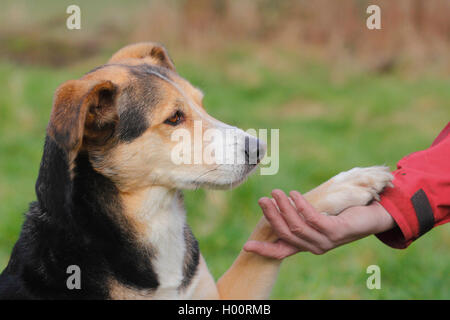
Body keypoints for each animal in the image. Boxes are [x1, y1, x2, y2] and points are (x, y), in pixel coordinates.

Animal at [0, 42, 392, 300]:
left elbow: (262, 232)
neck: (155, 217)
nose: (259, 148)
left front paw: (348, 184)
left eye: (201, 103)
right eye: (174, 118)